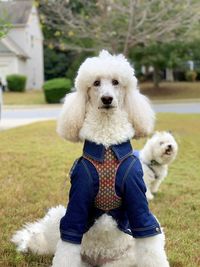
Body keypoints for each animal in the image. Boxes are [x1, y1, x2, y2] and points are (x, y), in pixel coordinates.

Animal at [11, 50, 170, 267]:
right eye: (96, 83)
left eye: (116, 82)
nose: (107, 98)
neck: (107, 143)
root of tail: (99, 259)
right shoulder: (78, 198)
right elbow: (69, 238)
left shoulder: (137, 195)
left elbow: (148, 236)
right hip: (58, 217)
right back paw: (29, 245)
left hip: (124, 258)